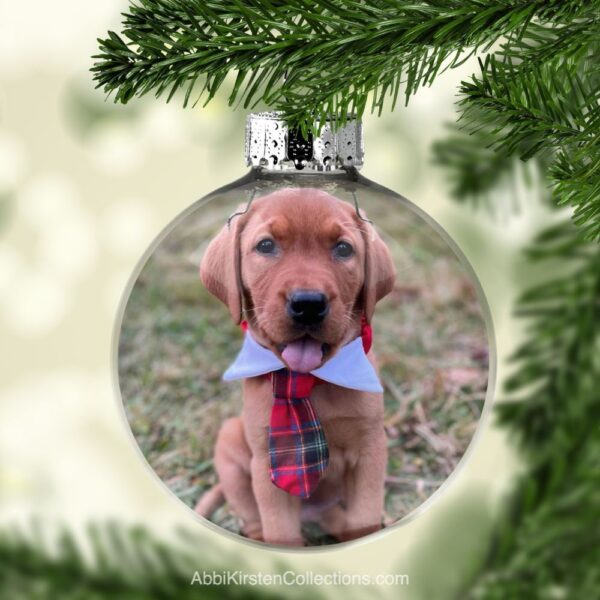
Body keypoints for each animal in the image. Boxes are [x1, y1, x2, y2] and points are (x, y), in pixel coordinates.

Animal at [195, 189, 396, 548]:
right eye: (266, 245)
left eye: (343, 248)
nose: (308, 305)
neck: (305, 380)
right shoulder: (270, 464)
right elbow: (281, 530)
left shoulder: (370, 450)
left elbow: (363, 518)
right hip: (231, 442)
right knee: (253, 516)